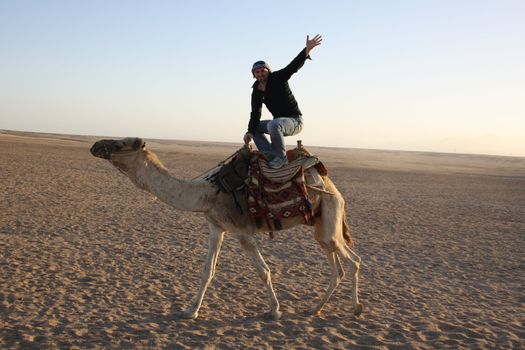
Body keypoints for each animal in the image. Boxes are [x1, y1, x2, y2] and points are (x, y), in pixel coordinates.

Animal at [89, 137, 360, 320]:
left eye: (121, 144)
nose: (95, 145)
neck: (208, 193)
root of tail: (332, 186)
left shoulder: (243, 232)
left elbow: (264, 271)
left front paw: (274, 311)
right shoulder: (216, 227)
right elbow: (207, 271)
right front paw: (190, 310)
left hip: (330, 213)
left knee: (353, 261)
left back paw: (356, 309)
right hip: (321, 224)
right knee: (337, 266)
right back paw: (315, 308)